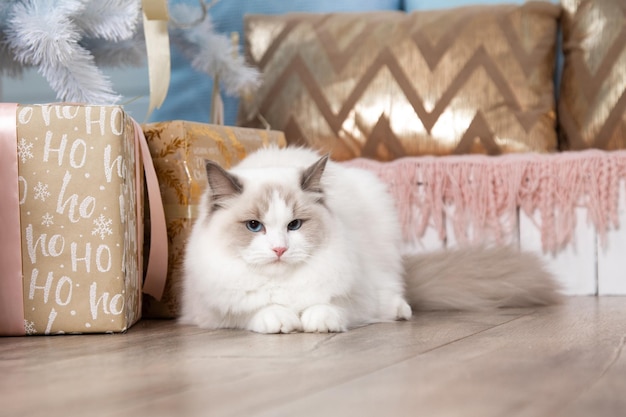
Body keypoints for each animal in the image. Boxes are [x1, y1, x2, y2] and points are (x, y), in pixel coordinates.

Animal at [178, 146, 560, 332]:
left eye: (295, 225)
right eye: (254, 226)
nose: (279, 249)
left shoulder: (353, 295)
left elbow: (327, 306)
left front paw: (315, 322)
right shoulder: (210, 309)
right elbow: (256, 311)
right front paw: (281, 319)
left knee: (393, 294)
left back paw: (400, 311)